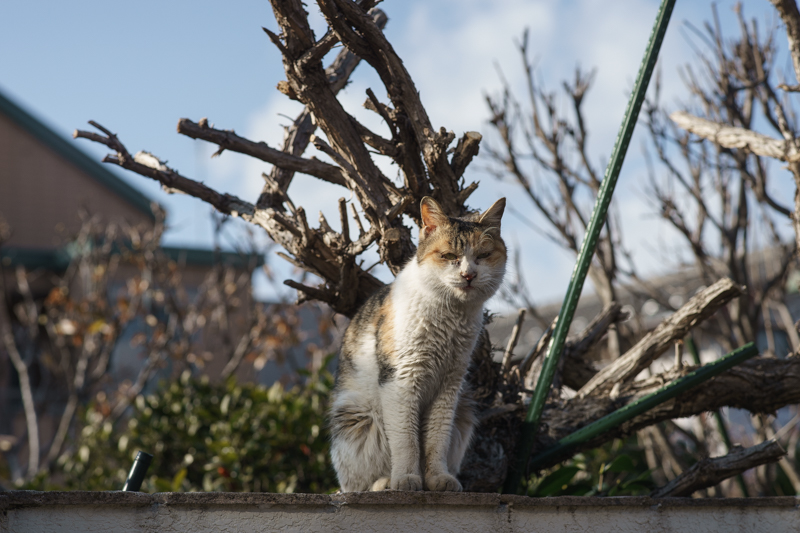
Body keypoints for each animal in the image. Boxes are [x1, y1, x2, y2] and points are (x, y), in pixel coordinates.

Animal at [330, 195, 506, 490]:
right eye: (449, 257)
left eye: (482, 256)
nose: (469, 275)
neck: (451, 315)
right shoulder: (401, 380)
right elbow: (406, 439)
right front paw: (406, 479)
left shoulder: (450, 385)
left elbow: (435, 439)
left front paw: (437, 479)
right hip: (358, 417)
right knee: (356, 483)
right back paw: (384, 483)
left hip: (464, 411)